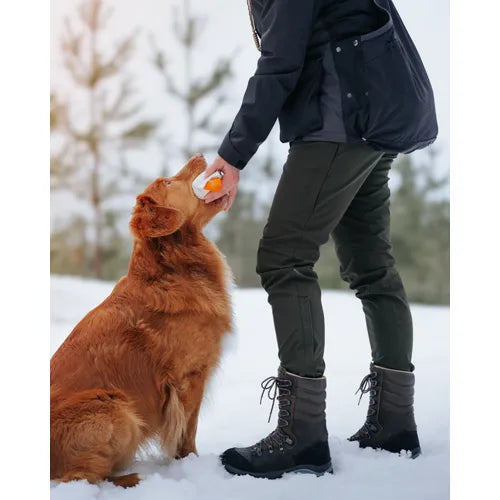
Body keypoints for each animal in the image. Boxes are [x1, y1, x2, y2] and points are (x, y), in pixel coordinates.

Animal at [49, 154, 233, 486]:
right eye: (168, 182)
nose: (201, 156)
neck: (171, 269)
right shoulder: (188, 378)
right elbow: (187, 433)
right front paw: (191, 466)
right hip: (115, 408)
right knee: (82, 477)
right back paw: (132, 479)